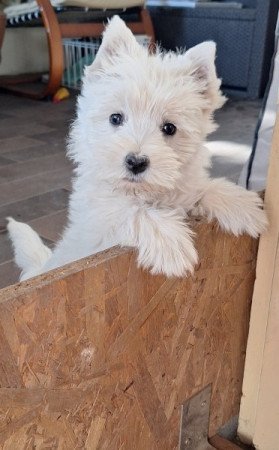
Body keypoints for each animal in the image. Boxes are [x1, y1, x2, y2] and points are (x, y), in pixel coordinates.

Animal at [7, 15, 268, 282]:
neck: (142, 192)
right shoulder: (100, 223)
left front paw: (245, 207)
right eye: (115, 118)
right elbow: (128, 211)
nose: (136, 162)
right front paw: (172, 246)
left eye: (169, 128)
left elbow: (198, 189)